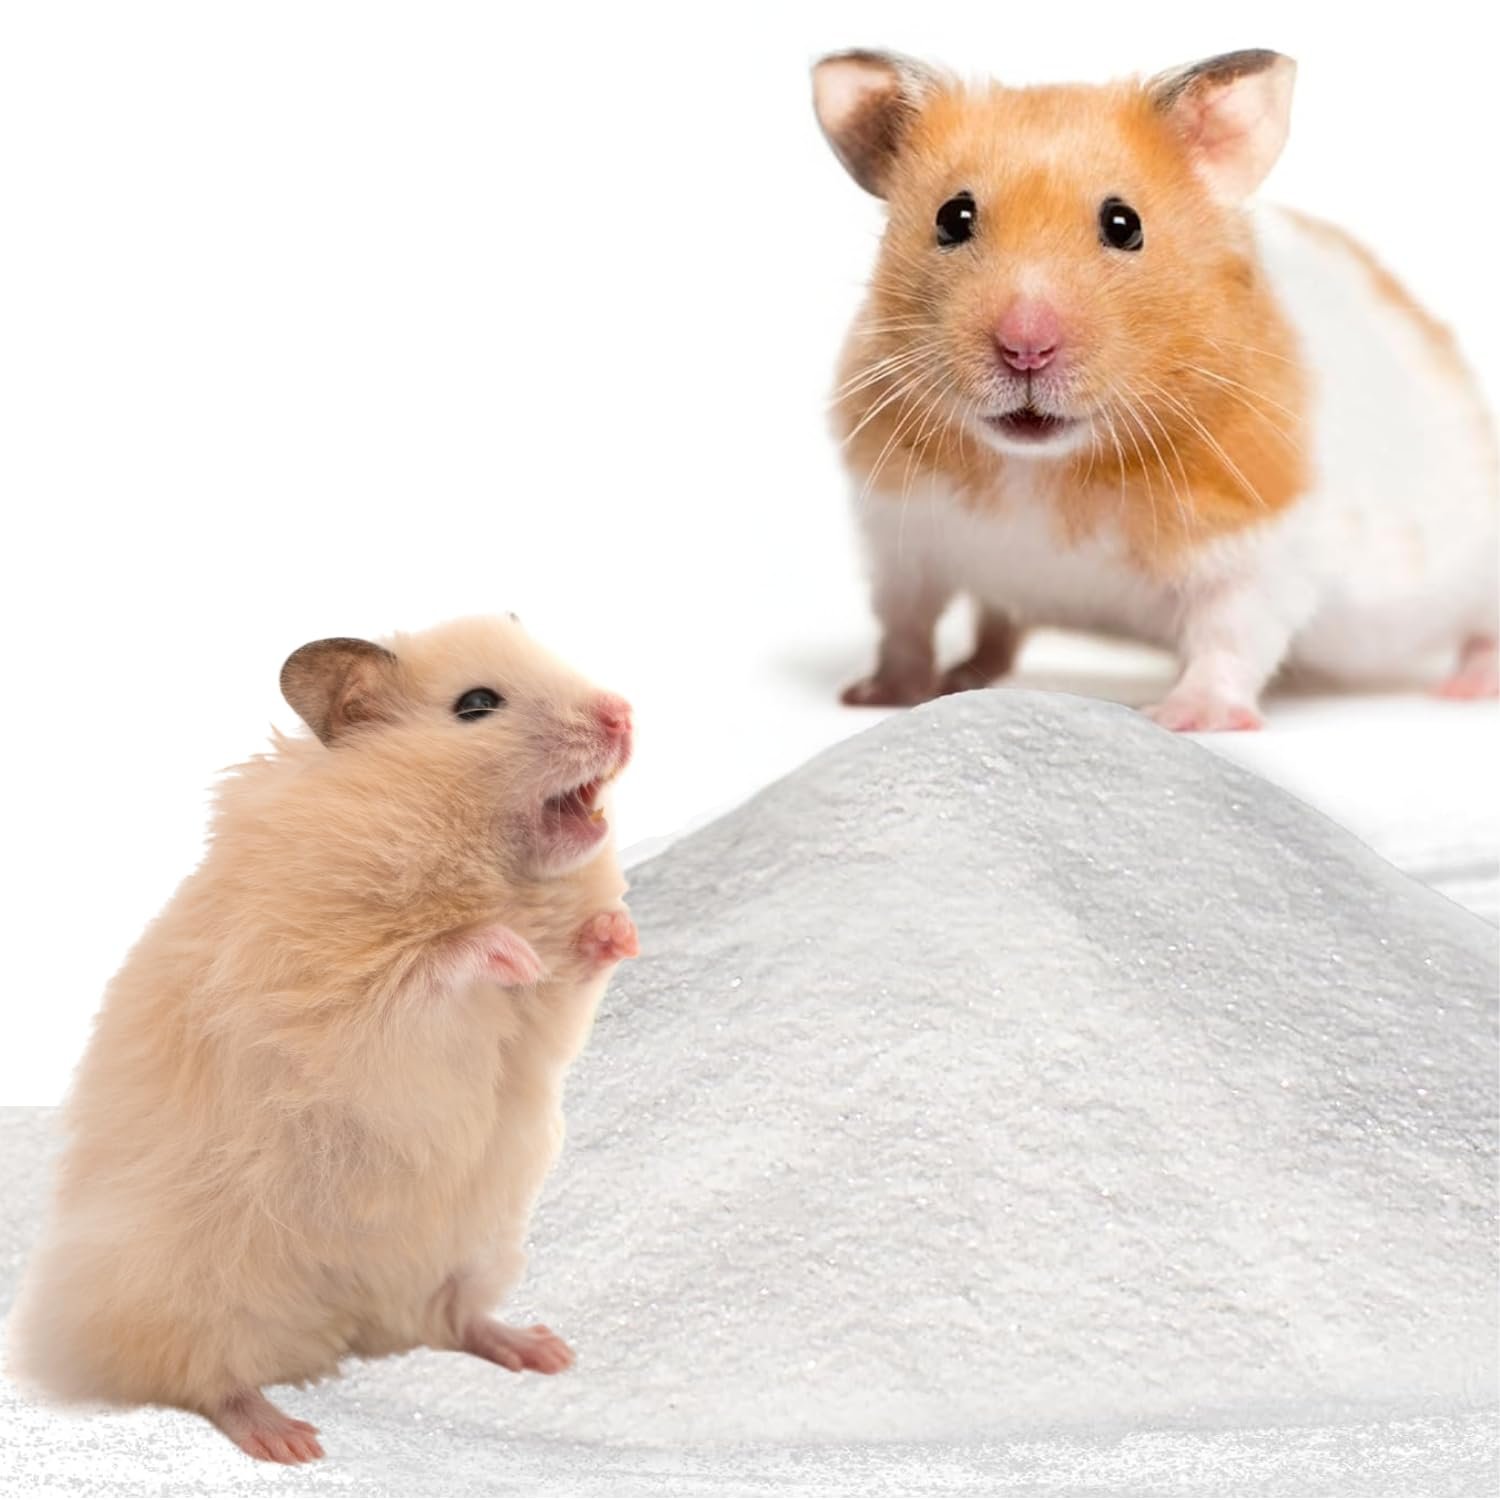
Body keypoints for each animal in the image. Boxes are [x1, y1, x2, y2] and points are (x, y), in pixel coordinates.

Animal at [7, 615, 638, 1464]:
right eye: (477, 705)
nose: (623, 715)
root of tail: (341, 1331)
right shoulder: (332, 998)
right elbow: (427, 970)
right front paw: (505, 950)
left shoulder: (545, 1014)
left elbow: (572, 974)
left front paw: (619, 932)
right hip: (188, 1287)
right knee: (204, 1380)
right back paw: (290, 1441)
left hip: (474, 1247)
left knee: (451, 1320)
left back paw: (543, 1350)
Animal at [813, 49, 1499, 729]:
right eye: (952, 217)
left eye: (1124, 225)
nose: (1025, 347)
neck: (1037, 470)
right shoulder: (898, 537)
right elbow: (905, 623)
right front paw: (876, 695)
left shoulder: (1260, 545)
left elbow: (1231, 634)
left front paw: (1183, 718)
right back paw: (966, 673)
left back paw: (1467, 688)